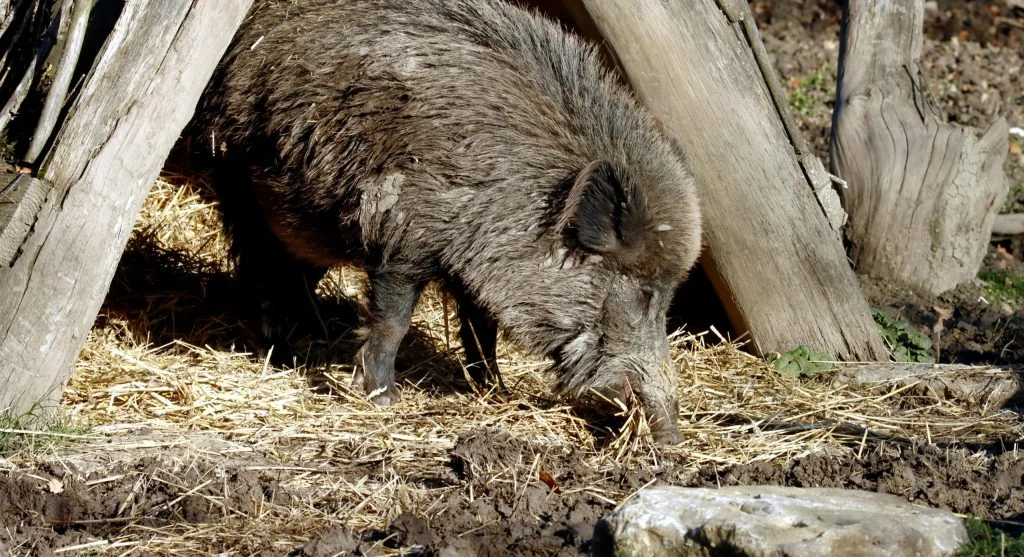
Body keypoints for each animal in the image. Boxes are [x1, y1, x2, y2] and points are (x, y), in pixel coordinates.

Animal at [192, 0, 702, 443]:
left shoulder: (471, 269)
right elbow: (393, 320)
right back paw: (280, 352)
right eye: (645, 294)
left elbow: (481, 330)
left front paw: (493, 391)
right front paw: (384, 399)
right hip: (240, 182)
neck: (515, 201)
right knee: (259, 268)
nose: (672, 438)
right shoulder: (402, 235)